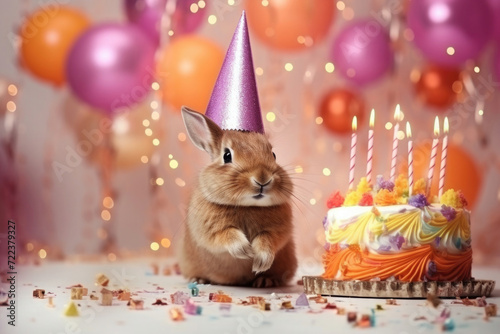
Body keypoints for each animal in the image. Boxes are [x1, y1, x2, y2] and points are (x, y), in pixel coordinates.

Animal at [179, 107, 296, 288]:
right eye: (227, 156)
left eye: (274, 154)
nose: (262, 178)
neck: (247, 206)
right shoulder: (211, 230)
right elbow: (227, 235)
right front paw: (247, 251)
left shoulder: (276, 231)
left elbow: (268, 240)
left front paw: (259, 261)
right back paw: (199, 279)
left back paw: (266, 280)